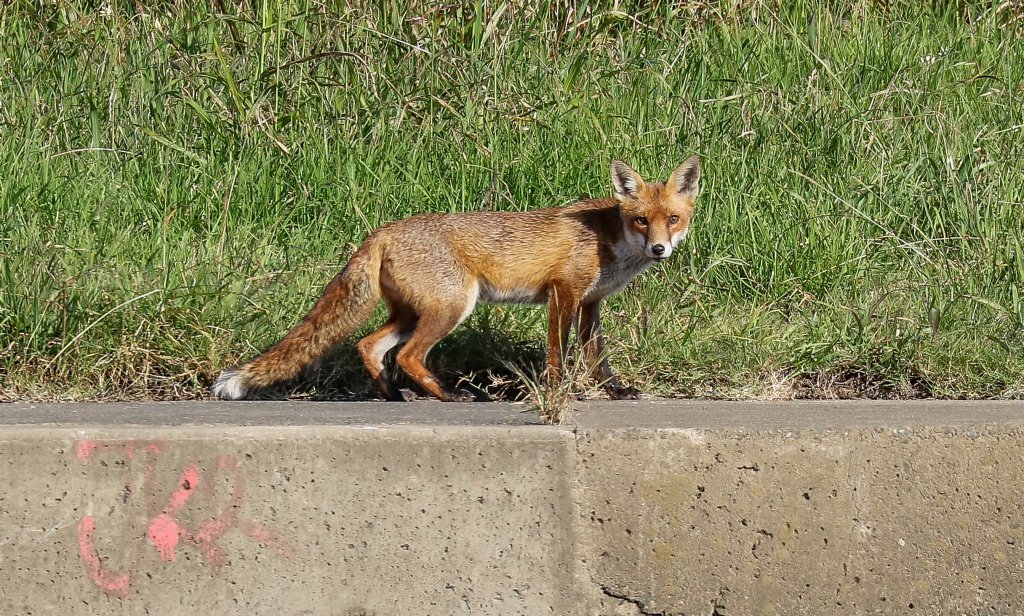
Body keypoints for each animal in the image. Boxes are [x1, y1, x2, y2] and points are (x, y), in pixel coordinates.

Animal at [212, 156, 701, 402]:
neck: (608, 239)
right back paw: (449, 396)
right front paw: (558, 390)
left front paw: (615, 392)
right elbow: (558, 355)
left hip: (412, 313)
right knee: (407, 355)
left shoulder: (590, 303)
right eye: (641, 221)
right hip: (451, 308)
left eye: (673, 220)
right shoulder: (563, 294)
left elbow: (599, 358)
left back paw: (393, 395)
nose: (658, 249)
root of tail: (381, 231)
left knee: (369, 346)